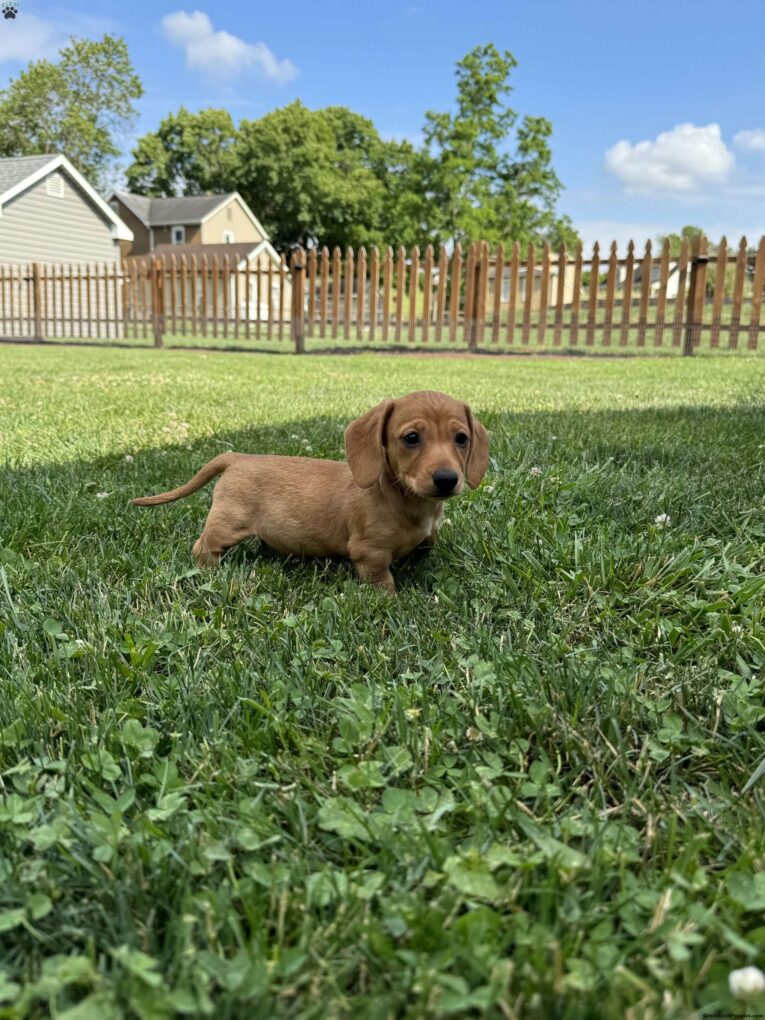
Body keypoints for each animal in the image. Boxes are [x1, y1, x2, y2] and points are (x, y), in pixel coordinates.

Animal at [131, 391, 491, 595]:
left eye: (461, 438)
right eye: (412, 438)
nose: (447, 479)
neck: (401, 498)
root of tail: (237, 457)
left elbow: (428, 542)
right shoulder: (369, 553)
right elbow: (382, 581)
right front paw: (389, 600)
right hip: (227, 524)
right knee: (203, 547)